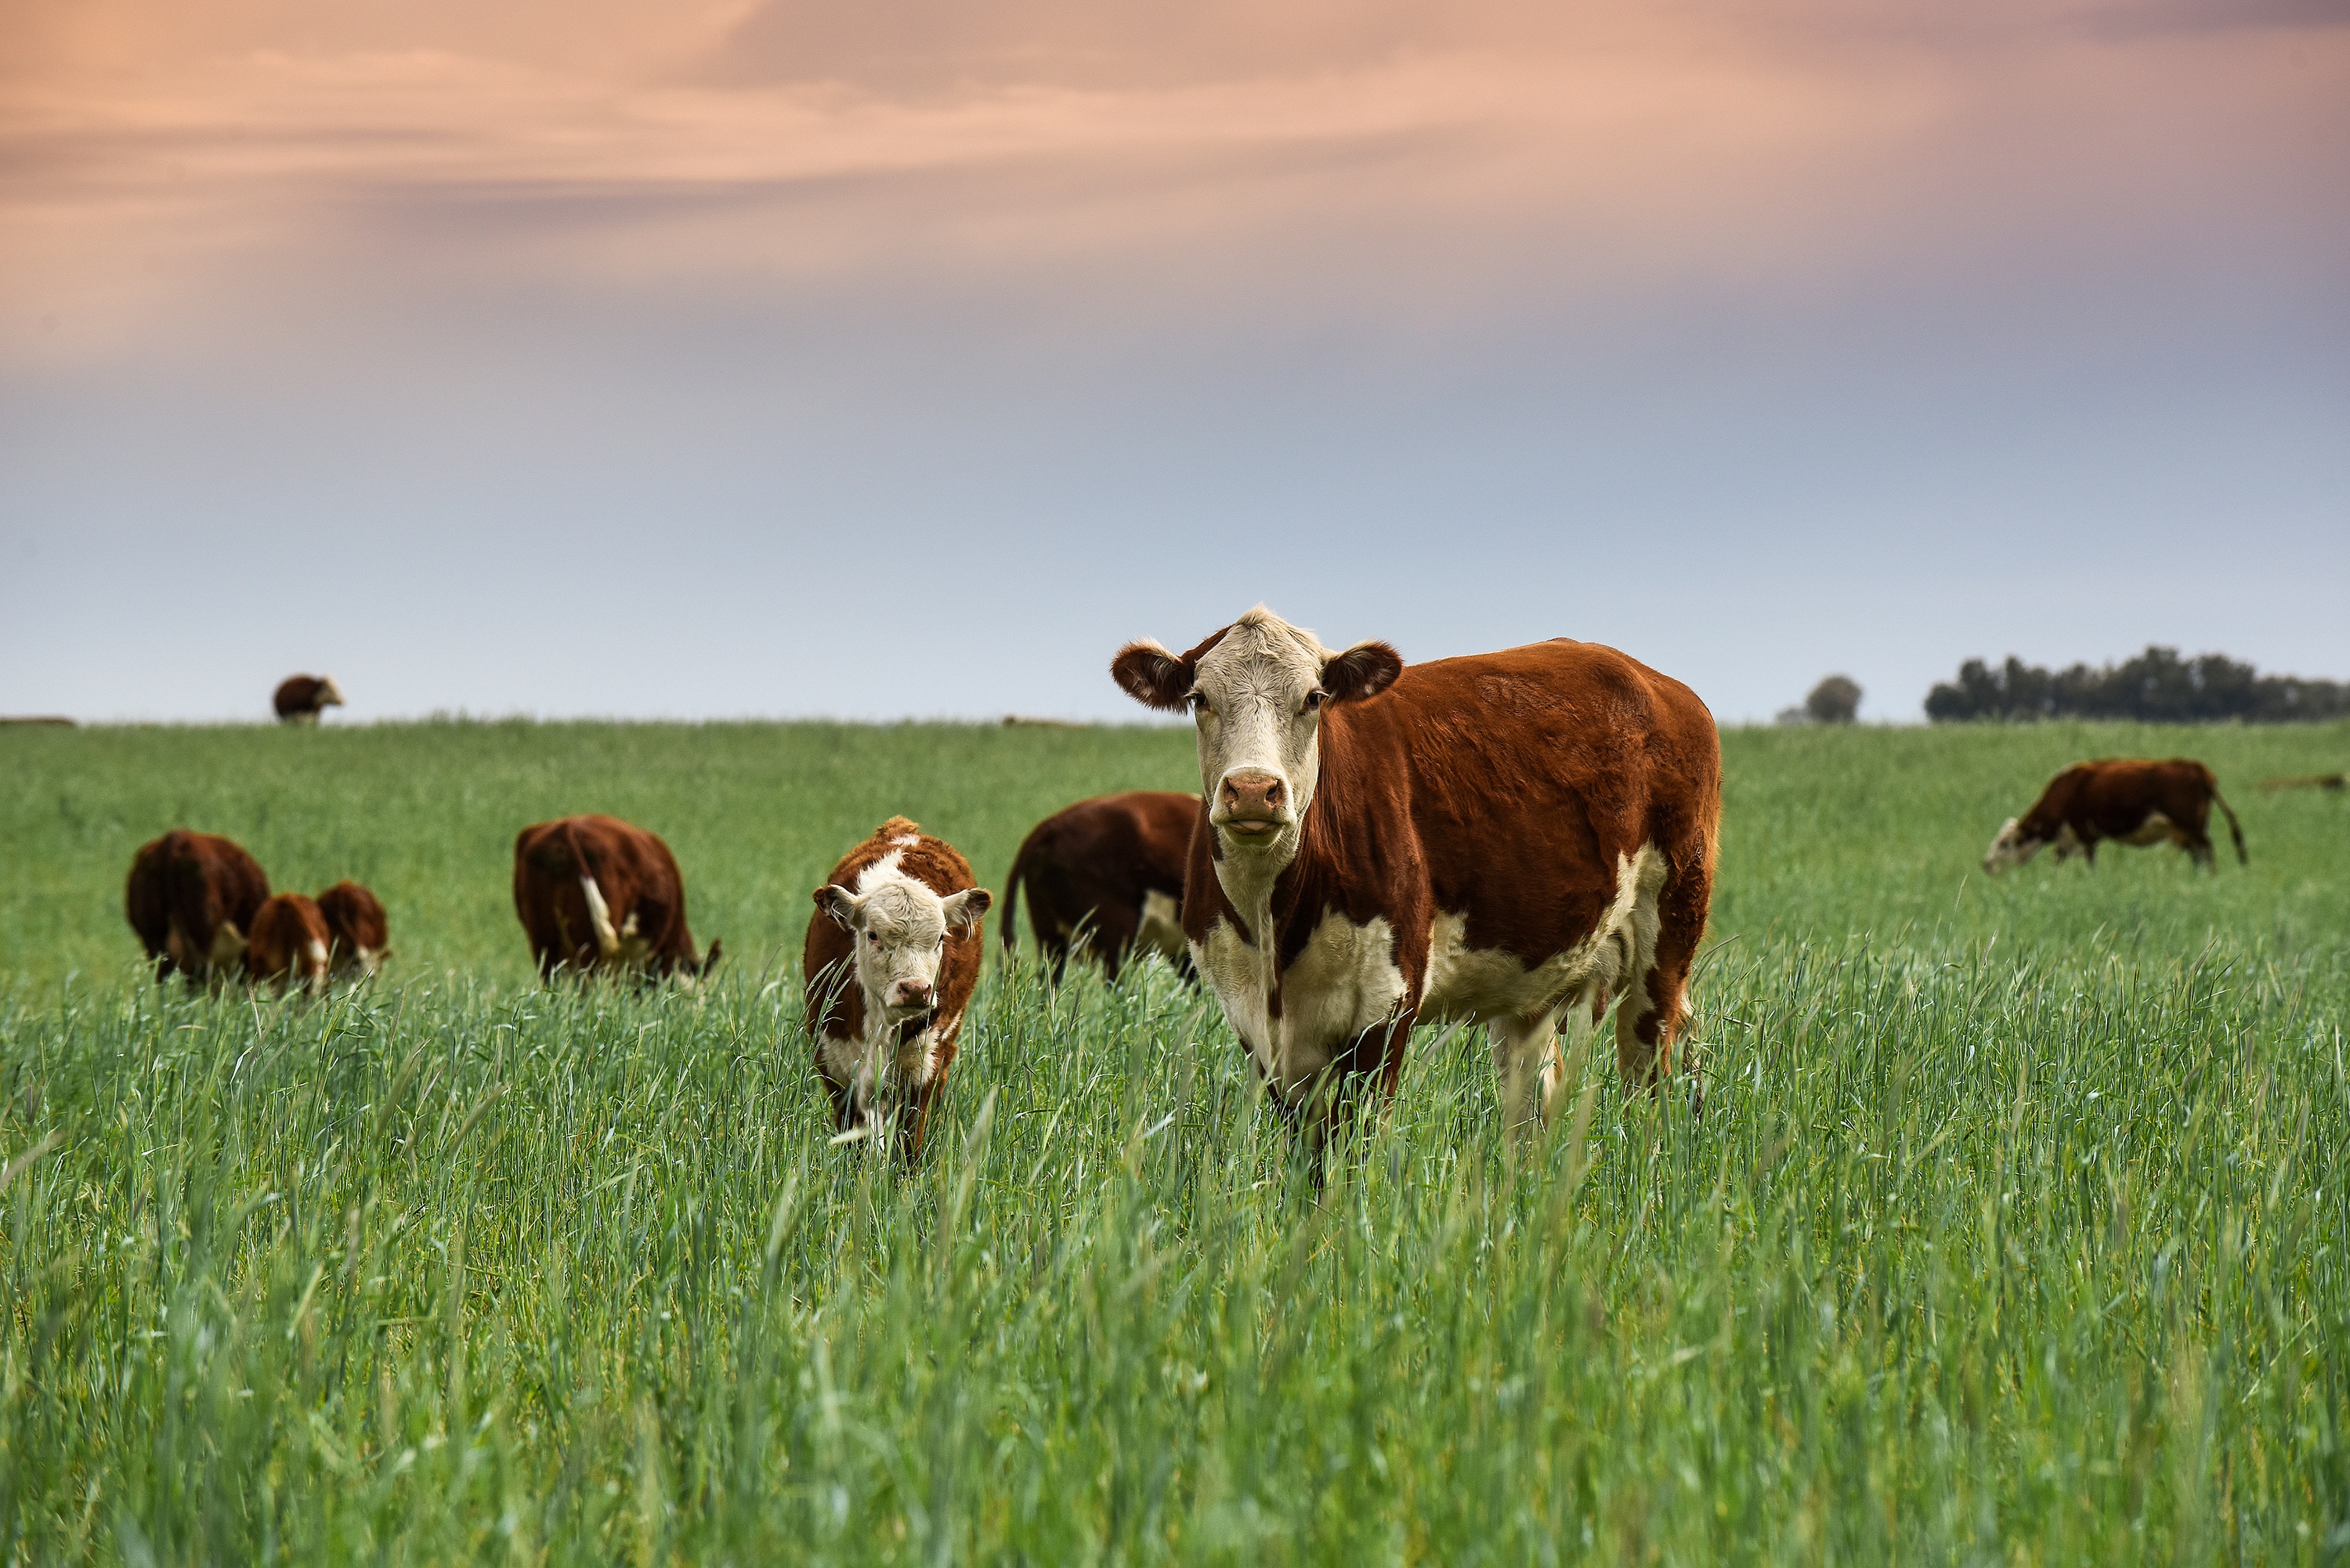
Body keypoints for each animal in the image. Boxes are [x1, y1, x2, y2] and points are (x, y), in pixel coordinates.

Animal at [808, 818, 992, 1161]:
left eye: (940, 938)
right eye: (873, 935)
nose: (917, 989)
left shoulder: (923, 1066)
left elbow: (909, 1145)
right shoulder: (834, 1060)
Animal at [1993, 757, 2247, 879]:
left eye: (2003, 844)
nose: (1987, 865)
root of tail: (2200, 769)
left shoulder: (2084, 832)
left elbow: (2089, 861)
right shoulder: (2069, 838)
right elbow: (2058, 859)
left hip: (2190, 825)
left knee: (2206, 849)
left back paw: (2209, 877)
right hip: (2186, 829)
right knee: (2198, 853)